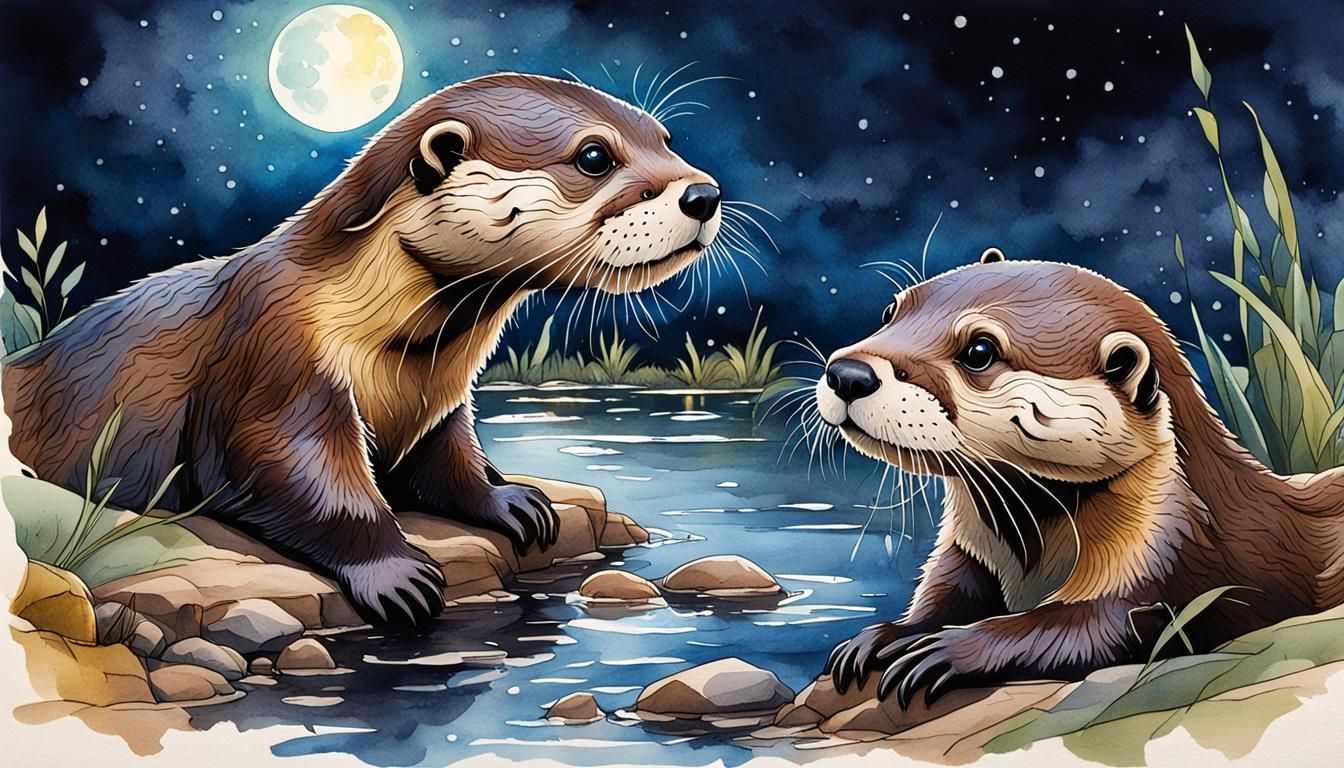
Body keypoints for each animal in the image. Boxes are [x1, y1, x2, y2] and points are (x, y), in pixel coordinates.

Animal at [3, 73, 722, 625]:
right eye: (594, 157)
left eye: (665, 139)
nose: (705, 192)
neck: (396, 350)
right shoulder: (276, 364)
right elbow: (302, 478)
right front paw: (393, 572)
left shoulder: (444, 402)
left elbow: (451, 462)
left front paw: (511, 500)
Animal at [816, 248, 1344, 709]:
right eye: (891, 311)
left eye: (980, 350)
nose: (848, 373)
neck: (1031, 552)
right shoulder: (971, 553)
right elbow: (945, 594)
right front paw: (884, 637)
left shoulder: (1167, 559)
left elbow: (1085, 628)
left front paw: (948, 651)